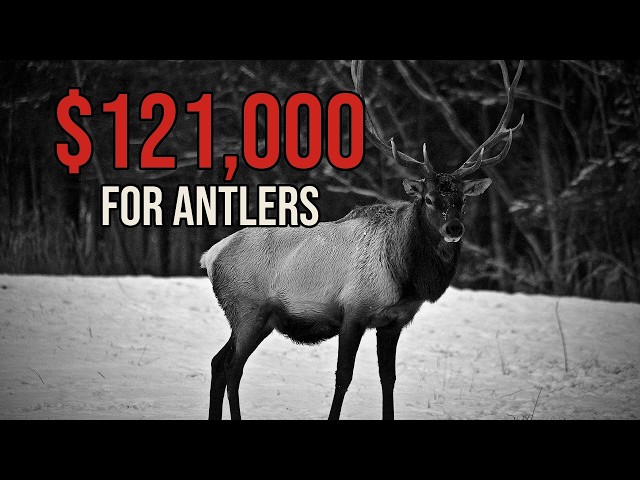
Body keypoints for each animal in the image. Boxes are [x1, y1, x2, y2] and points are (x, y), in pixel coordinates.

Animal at [200, 59, 524, 420]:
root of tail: (210, 256)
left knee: (218, 362)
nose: (454, 229)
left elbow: (389, 378)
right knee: (232, 367)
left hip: (258, 318)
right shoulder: (353, 310)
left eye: (462, 200)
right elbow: (344, 376)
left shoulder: (394, 322)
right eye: (428, 199)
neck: (406, 278)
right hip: (248, 309)